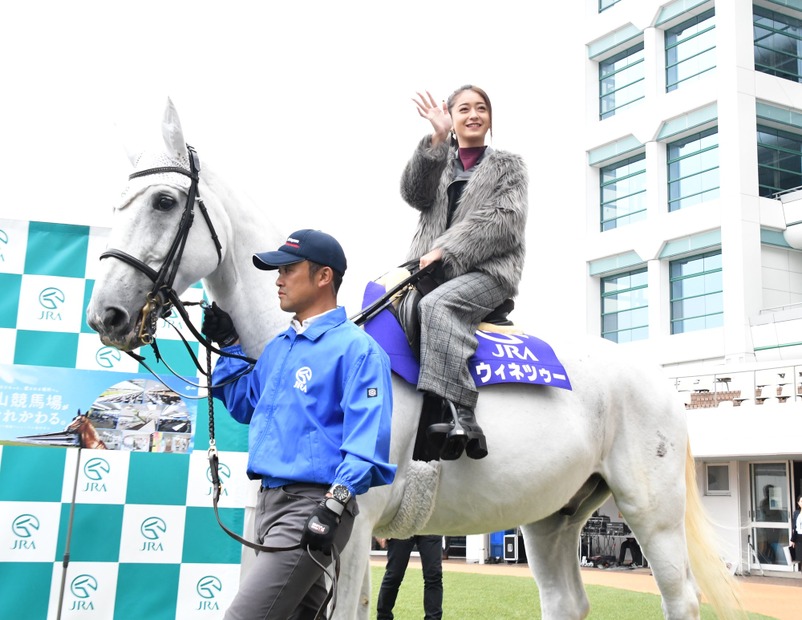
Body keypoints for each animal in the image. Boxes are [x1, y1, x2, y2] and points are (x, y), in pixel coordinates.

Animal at [84, 99, 740, 616]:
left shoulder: (347, 533)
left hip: (652, 512)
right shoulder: (273, 532)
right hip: (553, 516)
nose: (106, 315)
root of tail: (656, 381)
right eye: (117, 205)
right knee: (566, 601)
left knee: (679, 598)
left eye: (164, 201)